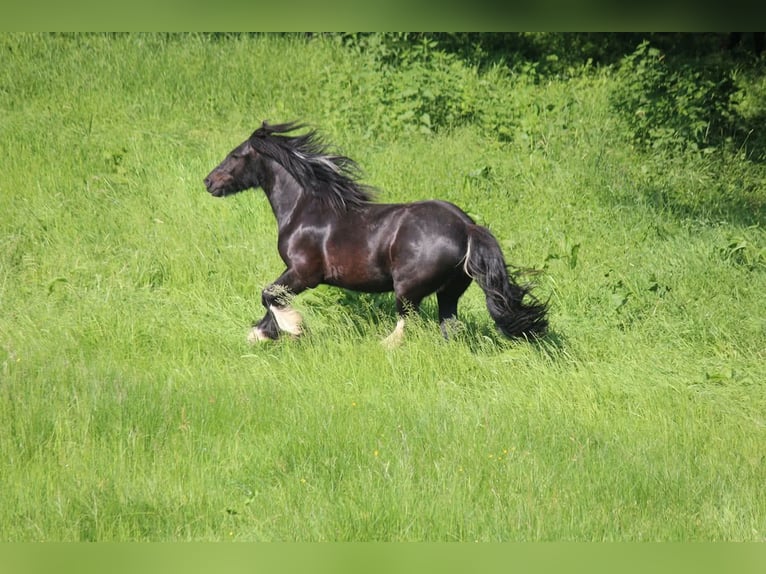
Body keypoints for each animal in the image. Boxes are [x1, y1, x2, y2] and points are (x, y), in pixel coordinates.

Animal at [203, 121, 548, 345]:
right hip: (450, 291)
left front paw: (292, 329)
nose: (209, 181)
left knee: (406, 325)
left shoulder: (304, 273)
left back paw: (382, 348)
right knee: (448, 327)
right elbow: (271, 299)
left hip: (407, 288)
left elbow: (269, 295)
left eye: (235, 155)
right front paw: (260, 334)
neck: (305, 208)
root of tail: (466, 226)